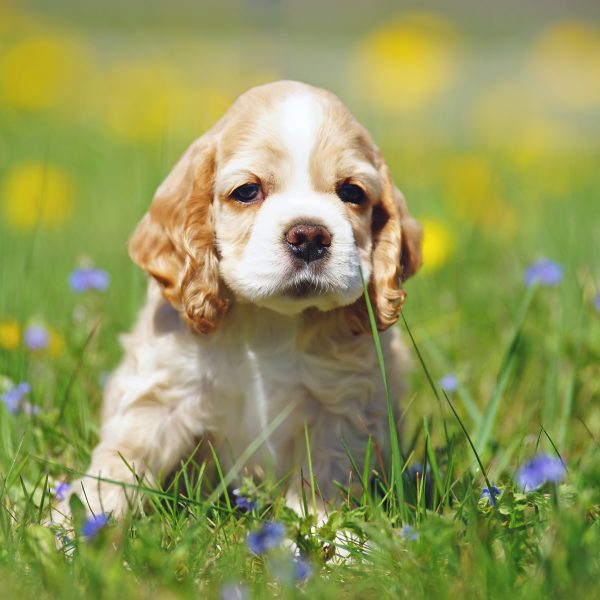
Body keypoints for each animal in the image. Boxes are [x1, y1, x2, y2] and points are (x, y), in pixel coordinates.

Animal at [55, 81, 422, 520]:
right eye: (247, 191)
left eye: (352, 191)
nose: (309, 235)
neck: (268, 321)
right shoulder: (164, 392)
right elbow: (121, 462)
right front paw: (78, 524)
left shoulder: (342, 404)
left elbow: (324, 476)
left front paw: (326, 532)